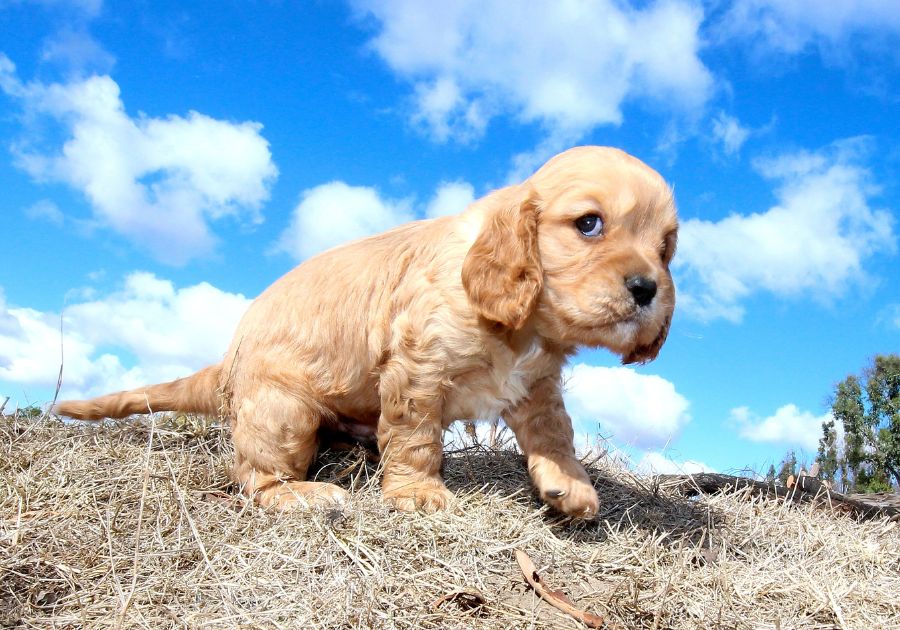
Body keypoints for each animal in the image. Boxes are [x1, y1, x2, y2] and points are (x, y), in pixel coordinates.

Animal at [56, 147, 676, 520]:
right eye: (589, 224)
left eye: (666, 248)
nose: (648, 288)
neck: (524, 329)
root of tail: (226, 364)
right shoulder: (416, 369)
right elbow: (415, 436)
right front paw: (418, 492)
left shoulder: (538, 385)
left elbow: (554, 434)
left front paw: (569, 484)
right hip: (282, 411)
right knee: (255, 479)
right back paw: (305, 492)